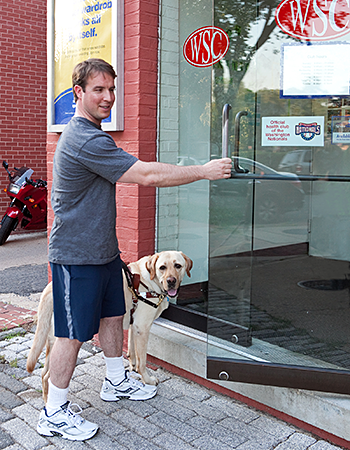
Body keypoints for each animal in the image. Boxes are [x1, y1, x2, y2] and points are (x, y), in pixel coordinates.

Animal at [26, 251, 193, 402]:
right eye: (162, 267)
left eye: (178, 266)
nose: (171, 281)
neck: (150, 282)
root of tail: (49, 289)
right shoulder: (143, 328)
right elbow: (143, 361)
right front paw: (147, 379)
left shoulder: (134, 326)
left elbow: (132, 353)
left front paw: (132, 370)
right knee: (50, 375)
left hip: (51, 339)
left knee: (43, 374)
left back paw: (46, 401)